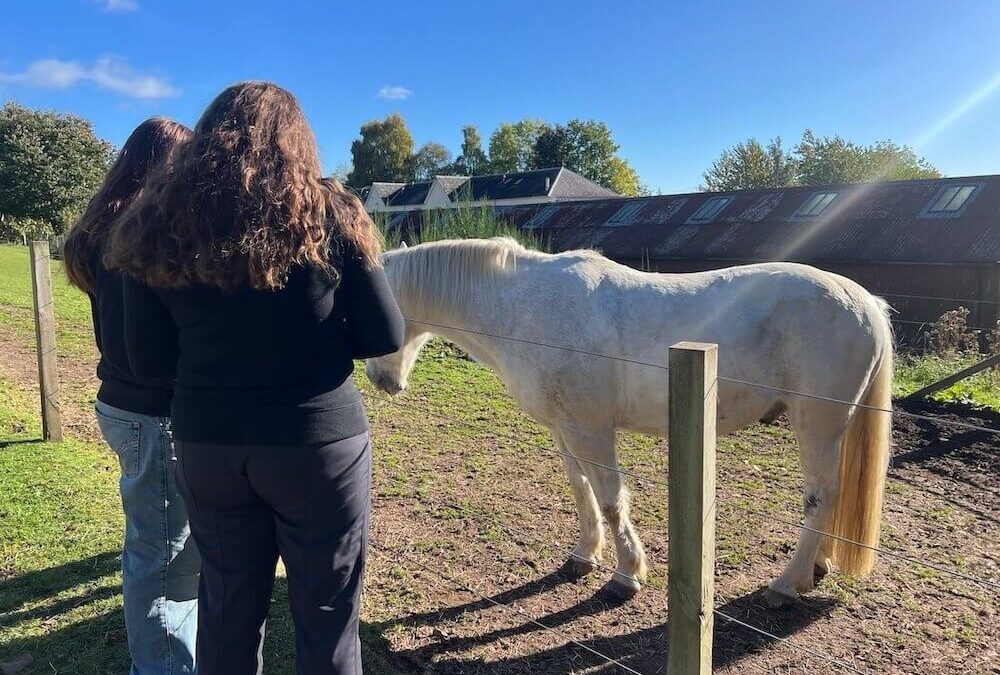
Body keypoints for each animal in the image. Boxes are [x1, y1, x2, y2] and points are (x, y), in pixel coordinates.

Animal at [365, 237, 893, 608]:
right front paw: (583, 556)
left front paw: (626, 576)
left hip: (818, 423)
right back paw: (816, 567)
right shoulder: (565, 429)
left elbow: (611, 499)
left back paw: (785, 584)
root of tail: (865, 301)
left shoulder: (591, 429)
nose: (380, 380)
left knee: (821, 497)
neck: (524, 308)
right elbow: (581, 491)